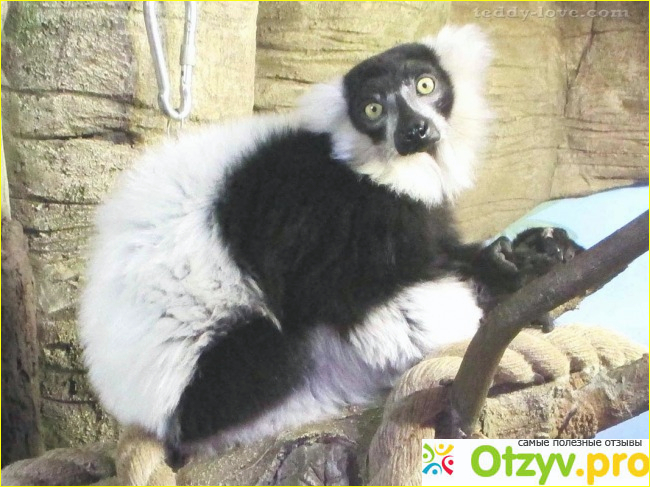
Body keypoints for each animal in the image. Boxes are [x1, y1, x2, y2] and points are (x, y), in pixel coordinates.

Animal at [79, 25, 579, 458]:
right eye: (372, 110)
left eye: (424, 85)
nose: (414, 131)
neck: (367, 167)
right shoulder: (331, 216)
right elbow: (381, 313)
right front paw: (502, 294)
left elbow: (434, 253)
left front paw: (524, 256)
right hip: (218, 387)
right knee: (282, 349)